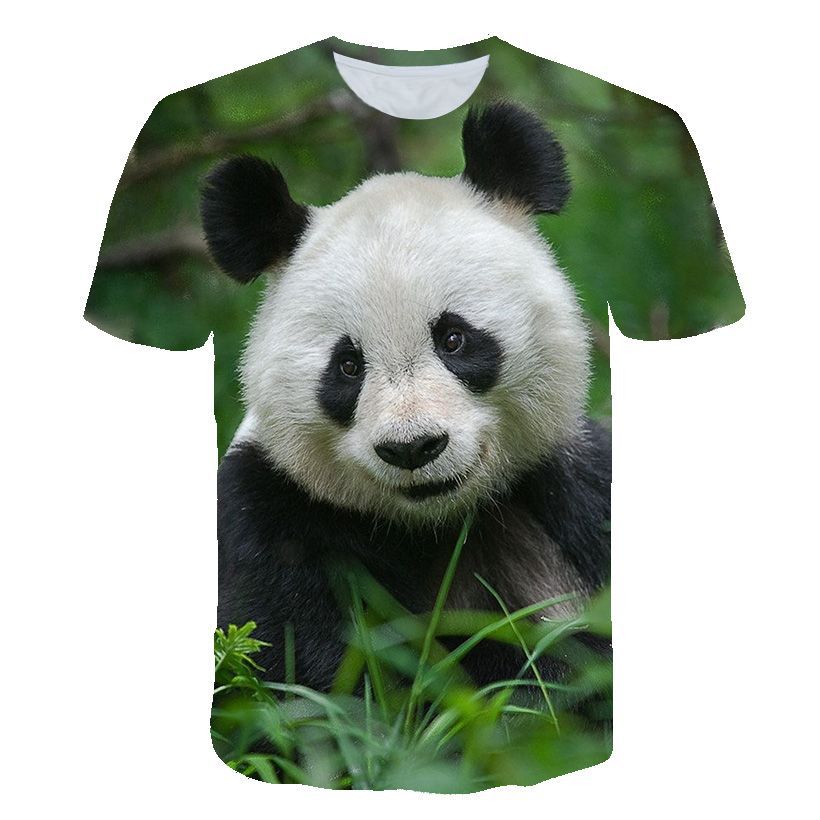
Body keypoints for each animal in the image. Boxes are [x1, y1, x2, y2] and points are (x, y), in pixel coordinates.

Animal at [203, 102, 611, 692]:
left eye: (454, 338)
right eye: (348, 366)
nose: (413, 448)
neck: (434, 523)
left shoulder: (569, 488)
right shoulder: (268, 517)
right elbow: (348, 678)